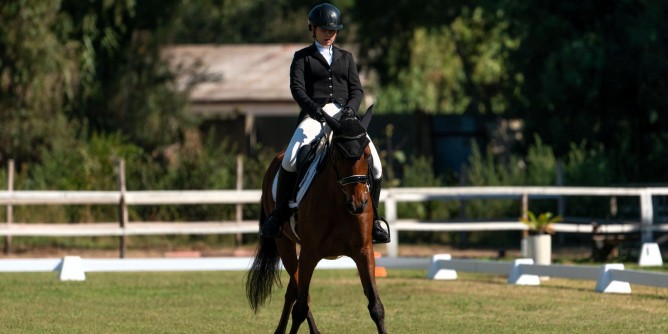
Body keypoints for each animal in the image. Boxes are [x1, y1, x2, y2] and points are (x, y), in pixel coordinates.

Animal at [245, 107, 386, 334]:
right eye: (338, 154)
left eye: (367, 155)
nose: (358, 204)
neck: (339, 203)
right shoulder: (310, 252)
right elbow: (301, 307)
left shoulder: (364, 251)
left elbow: (376, 306)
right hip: (284, 243)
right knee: (298, 291)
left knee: (293, 290)